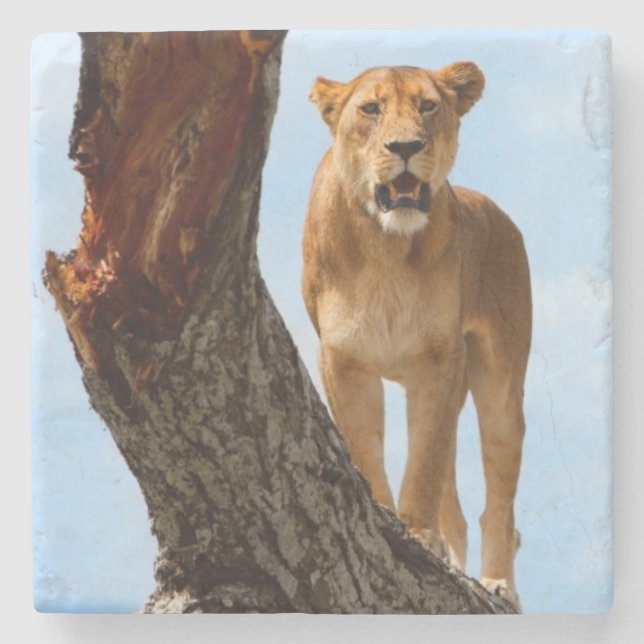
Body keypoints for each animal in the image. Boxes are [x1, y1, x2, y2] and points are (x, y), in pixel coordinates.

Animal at [301, 63, 532, 611]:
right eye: (370, 109)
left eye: (429, 106)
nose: (405, 146)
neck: (387, 247)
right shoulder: (344, 360)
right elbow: (367, 450)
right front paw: (386, 521)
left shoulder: (439, 359)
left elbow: (423, 465)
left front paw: (416, 536)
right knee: (460, 513)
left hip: (499, 384)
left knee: (499, 505)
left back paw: (498, 585)